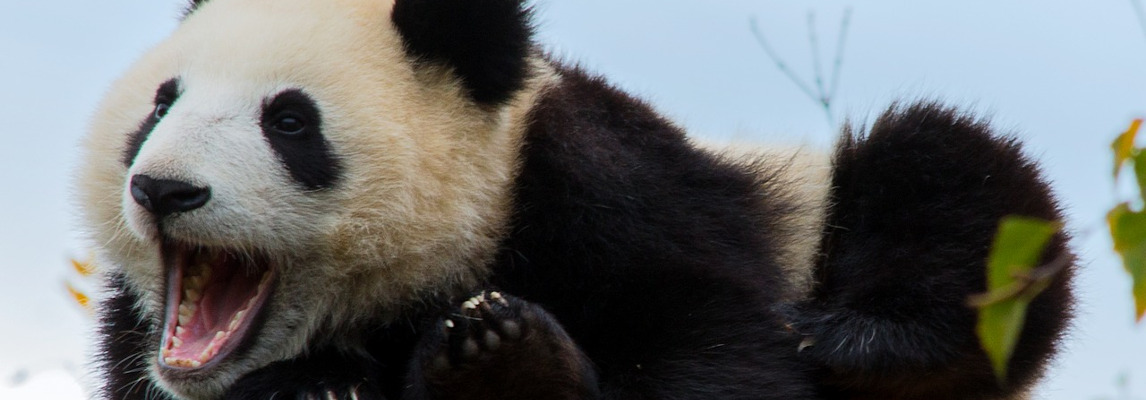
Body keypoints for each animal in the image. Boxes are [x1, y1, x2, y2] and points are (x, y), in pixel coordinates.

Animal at [77, 0, 1075, 399]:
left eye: (289, 121)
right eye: (161, 105)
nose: (163, 189)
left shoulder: (605, 191)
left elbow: (722, 357)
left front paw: (508, 360)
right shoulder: (134, 343)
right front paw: (314, 388)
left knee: (949, 180)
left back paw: (865, 340)